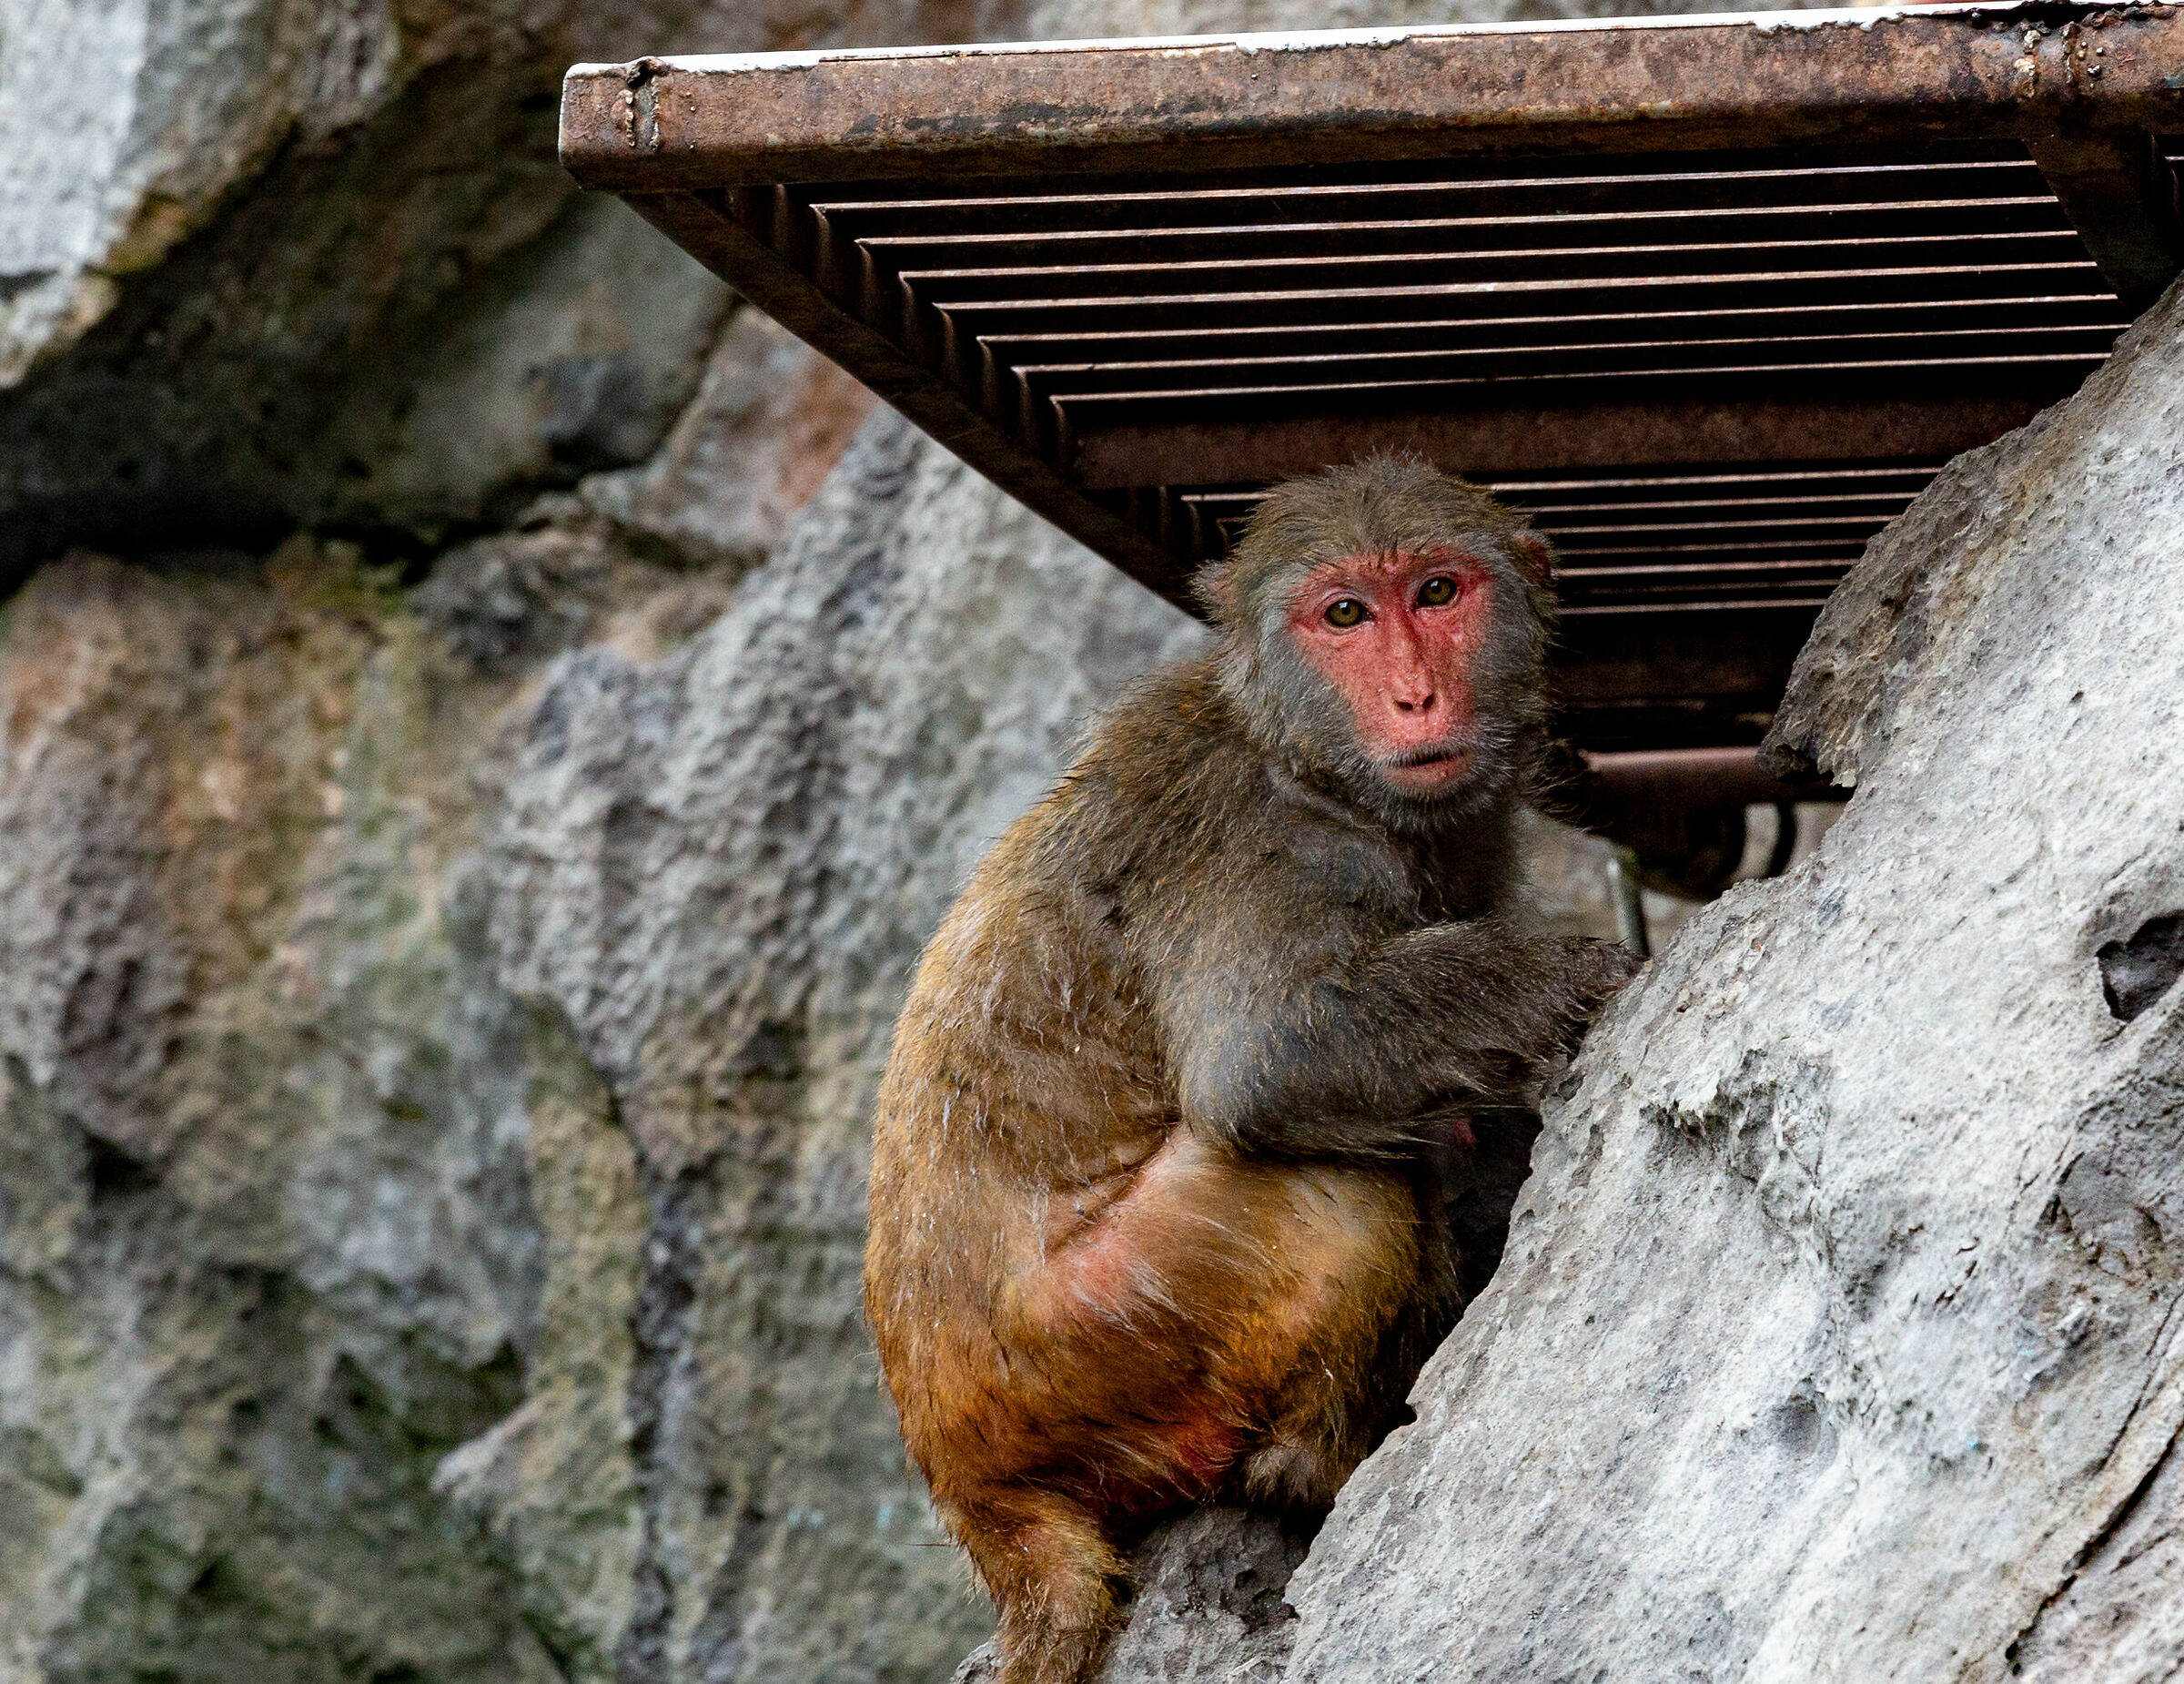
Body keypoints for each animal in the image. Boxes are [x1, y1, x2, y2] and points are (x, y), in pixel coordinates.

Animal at [865, 454, 1638, 1684]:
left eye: (1436, 592)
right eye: (1343, 615)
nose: (1416, 697)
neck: (1305, 756)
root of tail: (966, 1485)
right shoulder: (1253, 837)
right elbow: (1269, 1056)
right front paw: (1588, 972)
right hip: (1101, 1328)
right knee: (1338, 1188)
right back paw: (1310, 1468)